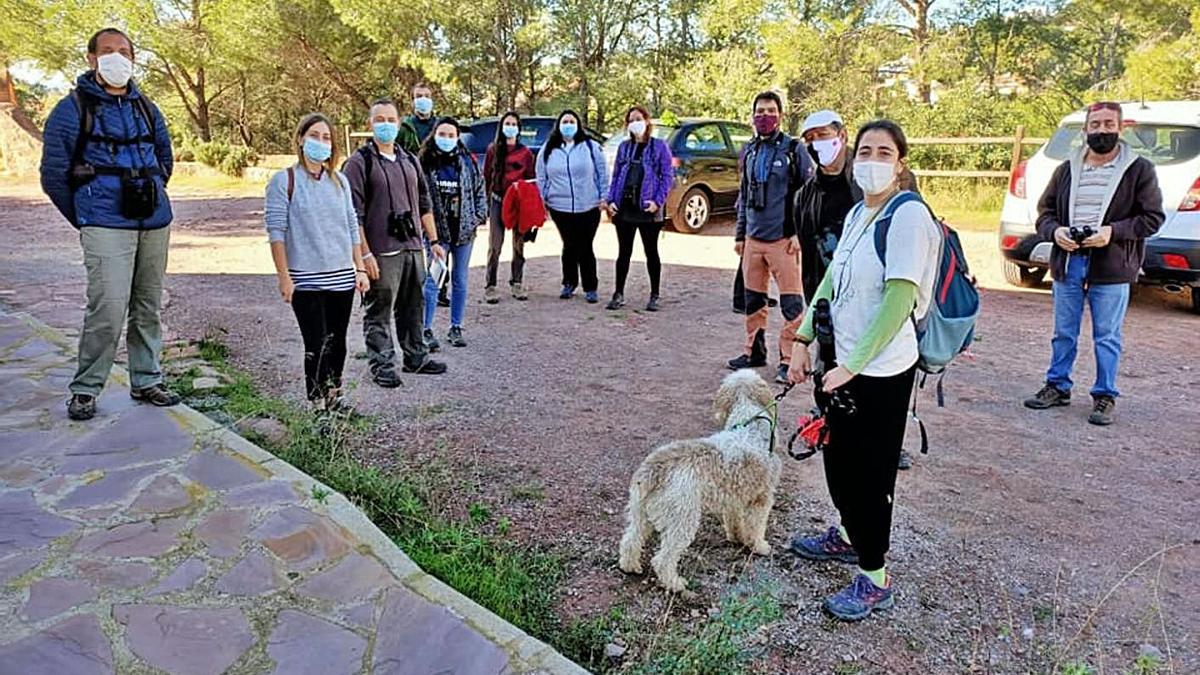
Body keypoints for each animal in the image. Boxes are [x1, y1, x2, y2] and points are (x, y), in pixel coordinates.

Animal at [624, 365, 782, 590]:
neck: (749, 424)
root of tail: (657, 467)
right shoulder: (762, 499)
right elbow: (757, 527)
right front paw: (759, 546)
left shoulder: (733, 500)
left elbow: (735, 521)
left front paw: (736, 537)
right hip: (682, 519)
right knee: (663, 559)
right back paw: (675, 584)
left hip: (640, 513)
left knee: (630, 540)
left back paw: (630, 566)